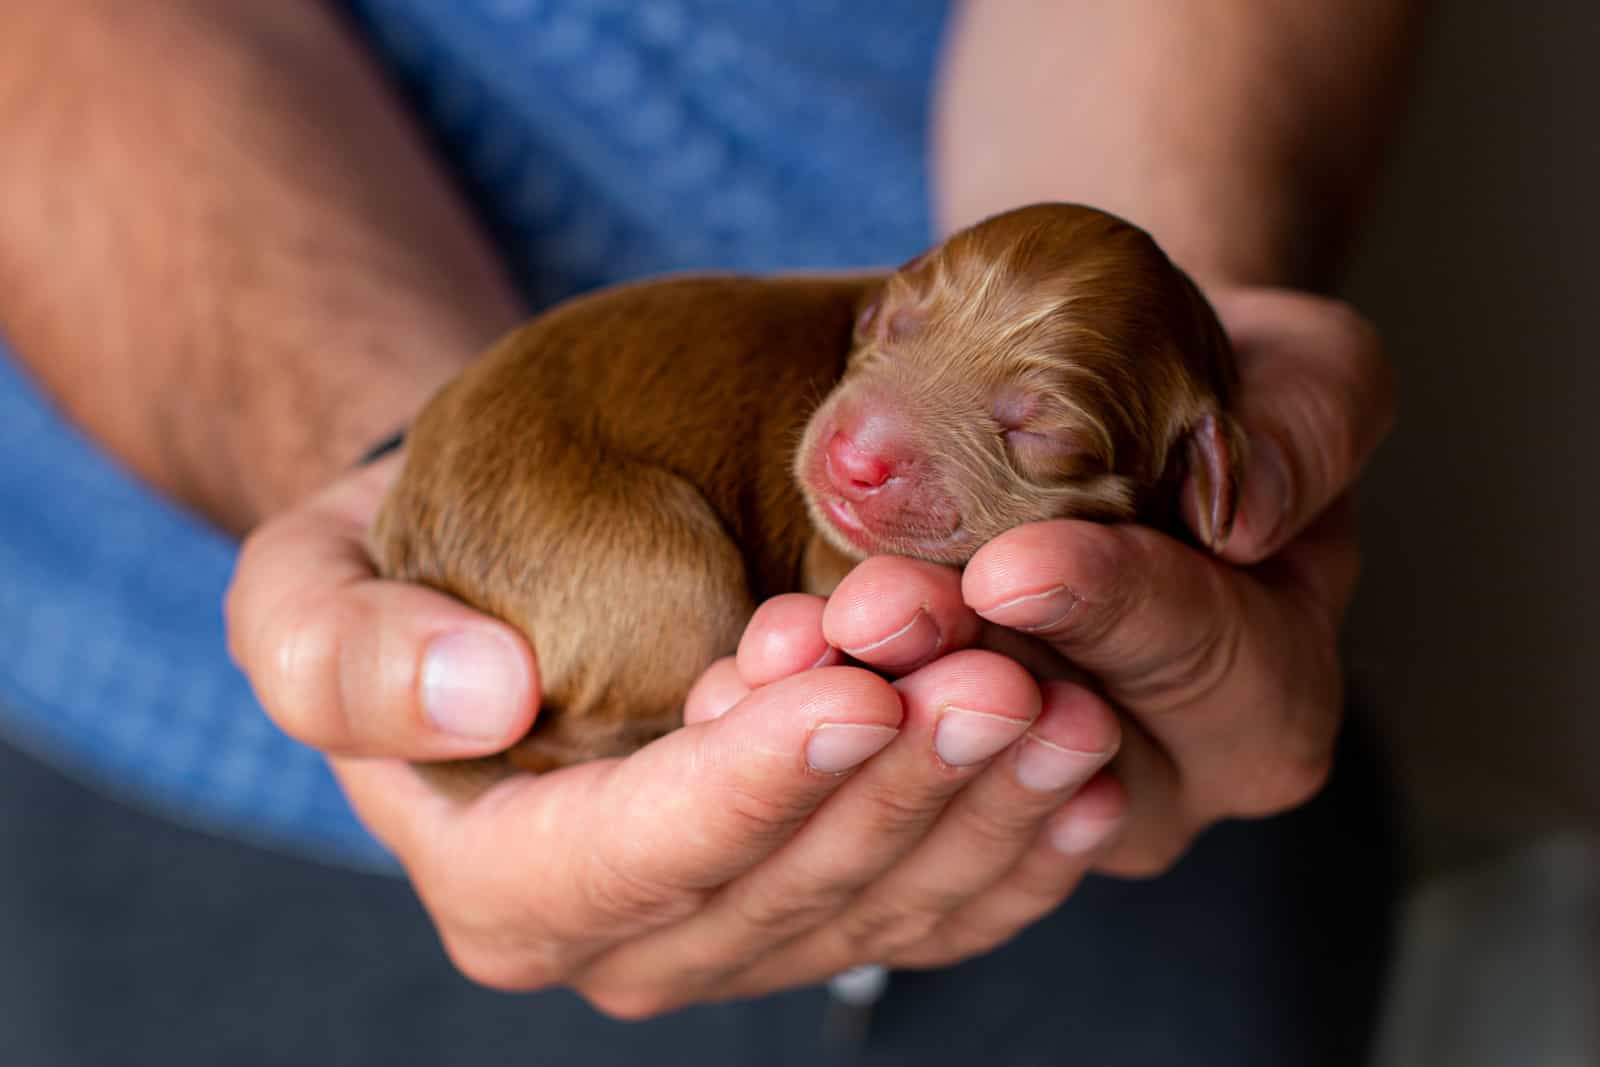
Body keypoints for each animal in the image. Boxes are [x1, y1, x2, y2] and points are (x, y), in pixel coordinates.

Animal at [371, 199, 1235, 771]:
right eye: (898, 326)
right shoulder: (831, 560)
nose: (854, 458)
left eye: (1045, 435)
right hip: (654, 567)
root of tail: (411, 538)